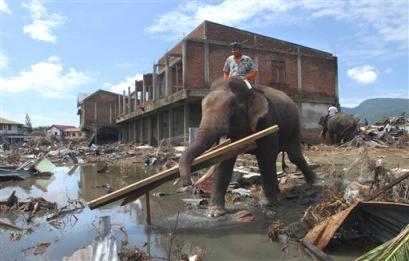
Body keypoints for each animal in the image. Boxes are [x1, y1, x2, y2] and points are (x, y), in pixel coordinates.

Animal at [178, 76, 316, 215]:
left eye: (232, 106)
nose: (188, 184)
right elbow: (224, 160)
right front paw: (214, 212)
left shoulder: (267, 120)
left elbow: (266, 157)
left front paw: (267, 204)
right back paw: (280, 191)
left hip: (295, 124)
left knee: (294, 155)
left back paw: (312, 182)